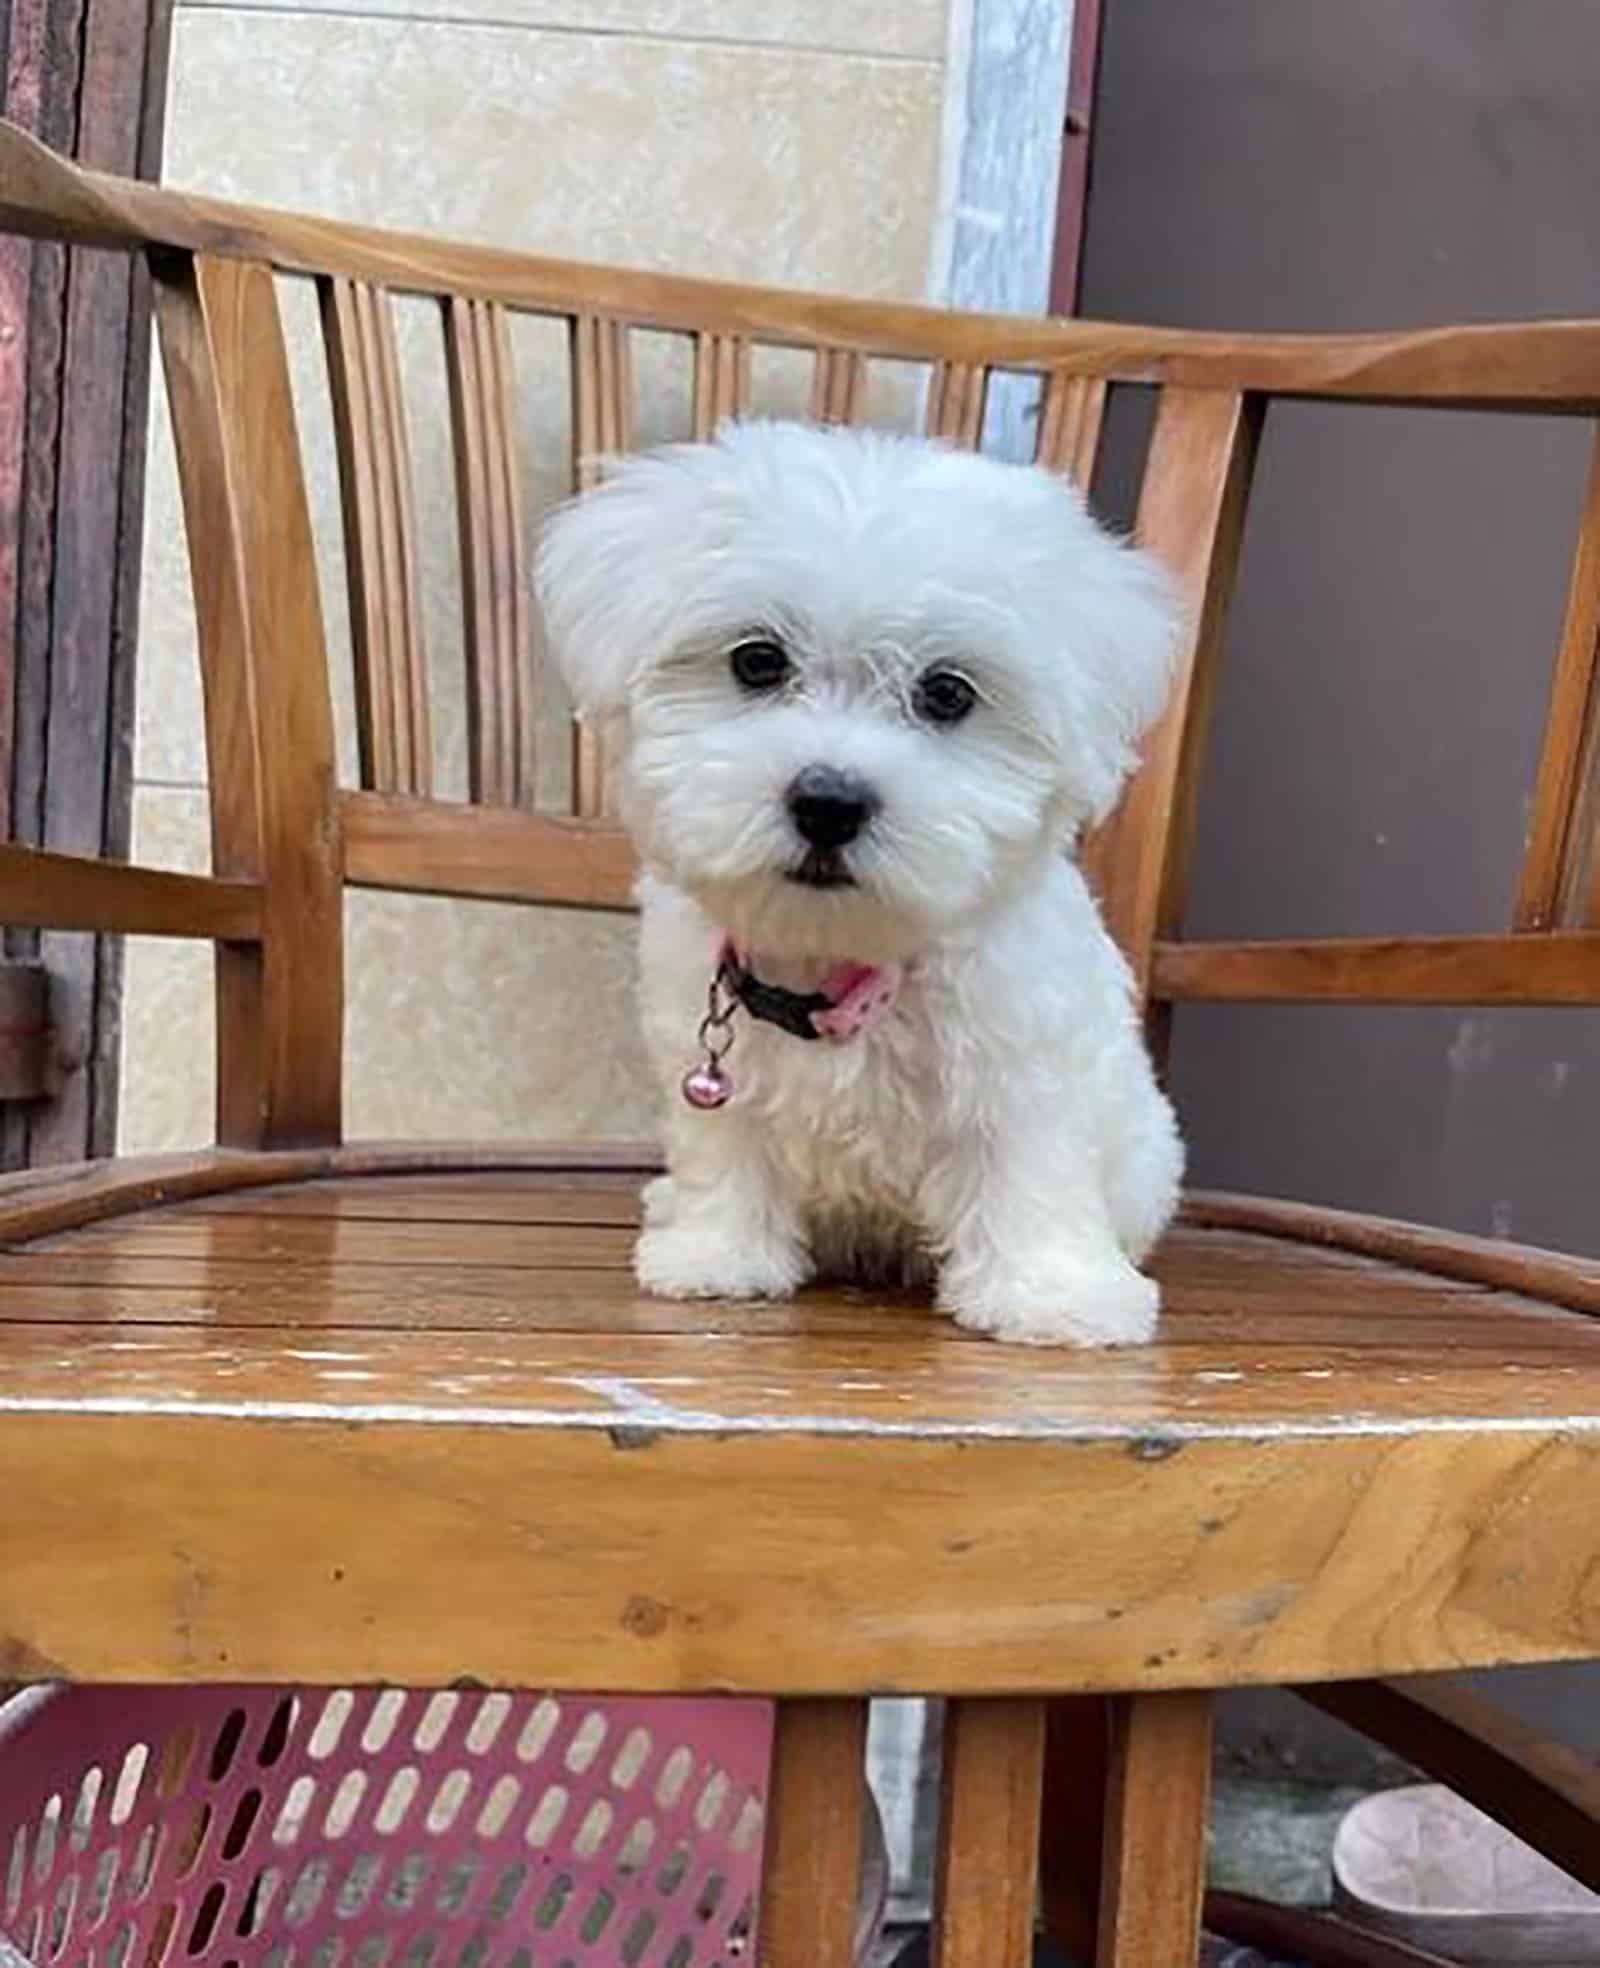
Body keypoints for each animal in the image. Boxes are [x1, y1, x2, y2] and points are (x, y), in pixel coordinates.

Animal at [543, 413, 1180, 1338]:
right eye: (757, 661)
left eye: (948, 693)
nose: (830, 802)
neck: (842, 963)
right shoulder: (708, 1061)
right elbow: (723, 1144)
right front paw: (718, 1252)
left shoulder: (1023, 1060)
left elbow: (1029, 1168)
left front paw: (1053, 1295)